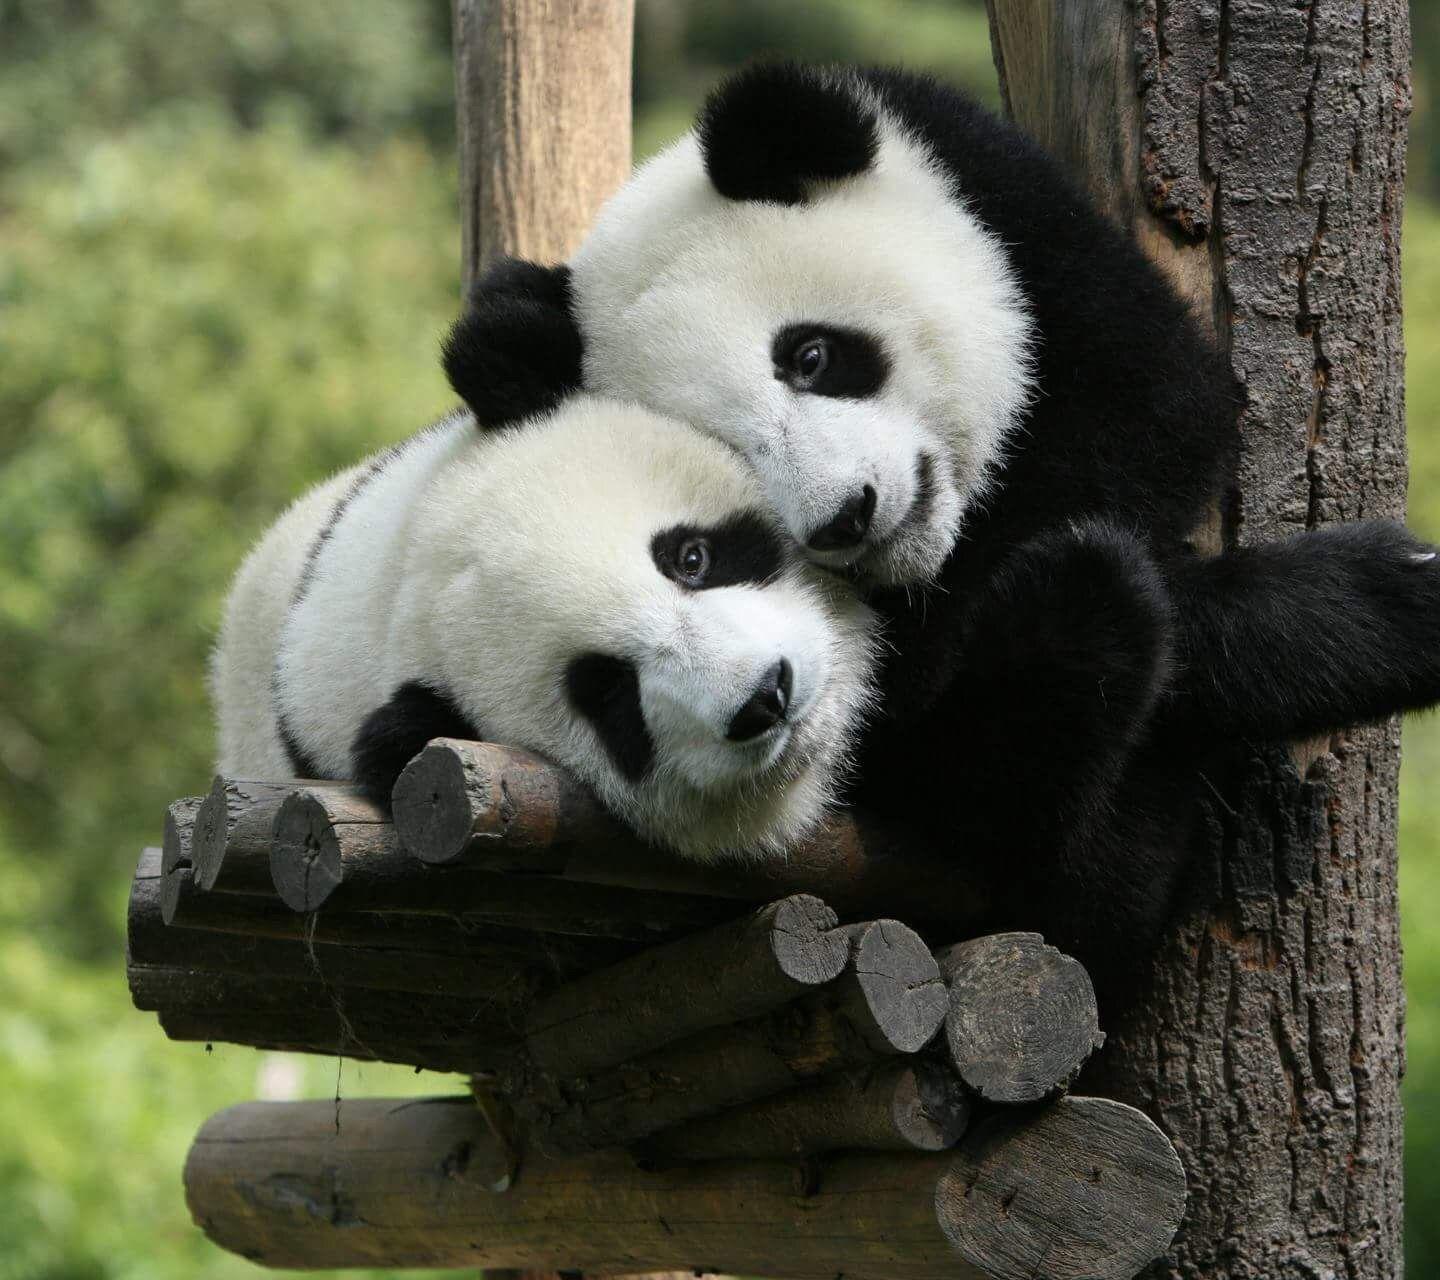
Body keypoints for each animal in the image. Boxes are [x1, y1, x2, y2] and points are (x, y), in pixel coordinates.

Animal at [449, 63, 1440, 987]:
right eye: (732, 452)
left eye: (812, 356)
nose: (846, 517)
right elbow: (930, 721)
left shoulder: (1014, 216)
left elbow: (1158, 413)